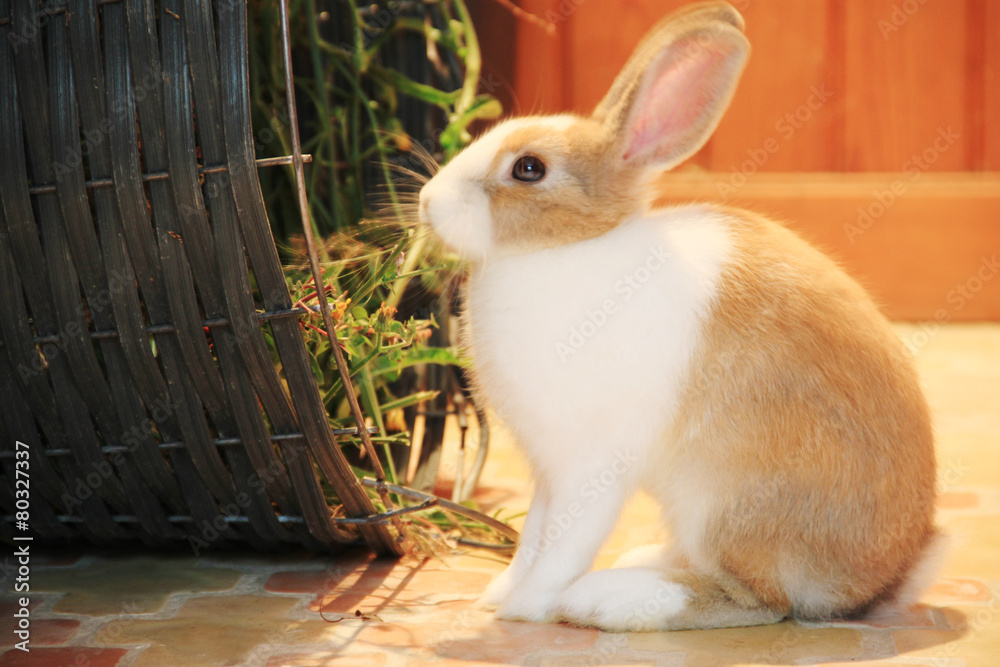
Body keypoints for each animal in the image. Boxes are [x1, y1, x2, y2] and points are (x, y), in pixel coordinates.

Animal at [417, 1, 941, 631]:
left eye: (528, 169)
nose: (428, 202)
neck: (567, 249)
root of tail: (881, 581)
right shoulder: (547, 469)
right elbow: (535, 536)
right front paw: (498, 594)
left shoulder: (592, 464)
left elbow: (564, 544)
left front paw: (526, 608)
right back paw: (639, 563)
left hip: (724, 507)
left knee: (760, 600)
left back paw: (608, 599)